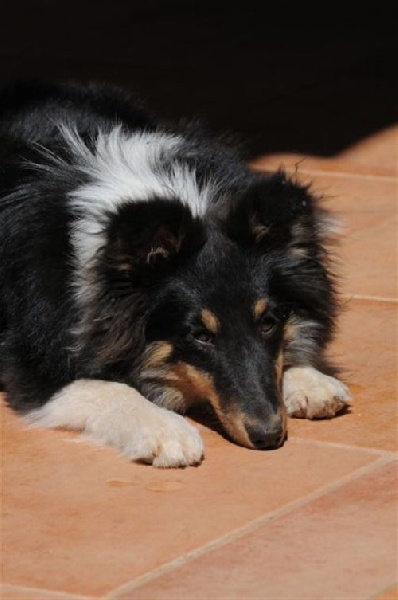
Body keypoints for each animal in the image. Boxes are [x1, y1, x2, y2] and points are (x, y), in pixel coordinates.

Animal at [0, 79, 352, 466]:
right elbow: (105, 387)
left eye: (269, 322)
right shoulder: (35, 361)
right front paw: (167, 433)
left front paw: (311, 380)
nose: (269, 437)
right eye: (199, 335)